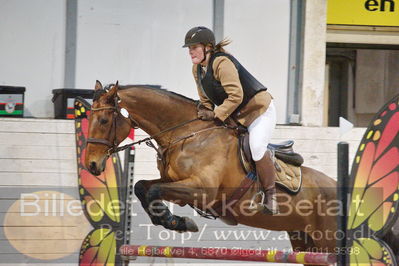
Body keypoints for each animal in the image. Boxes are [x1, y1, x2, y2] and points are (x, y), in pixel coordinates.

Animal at [85, 80, 340, 254]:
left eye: (104, 121)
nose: (91, 165)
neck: (186, 133)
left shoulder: (201, 189)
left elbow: (154, 190)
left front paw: (175, 221)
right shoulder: (176, 185)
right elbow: (142, 187)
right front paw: (174, 221)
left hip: (327, 240)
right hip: (303, 239)